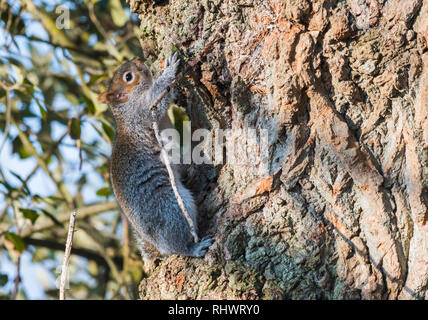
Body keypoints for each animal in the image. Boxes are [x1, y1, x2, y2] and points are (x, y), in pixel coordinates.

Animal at [99, 54, 214, 264]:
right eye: (128, 77)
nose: (138, 58)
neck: (127, 107)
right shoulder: (143, 111)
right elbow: (158, 95)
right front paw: (169, 68)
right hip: (170, 208)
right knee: (178, 242)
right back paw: (194, 248)